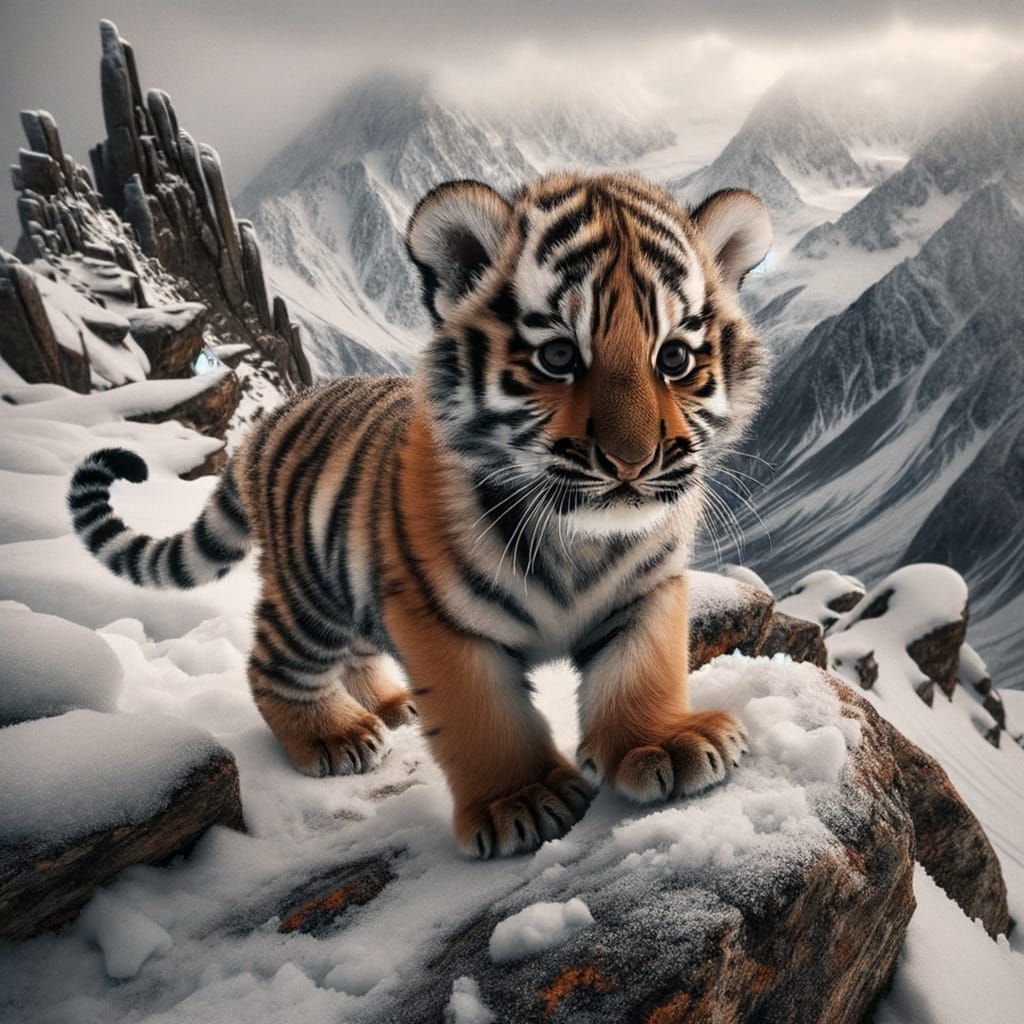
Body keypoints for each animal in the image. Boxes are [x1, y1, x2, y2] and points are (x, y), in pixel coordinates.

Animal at [67, 170, 772, 859]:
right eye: (558, 357)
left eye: (674, 358)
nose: (633, 461)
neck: (582, 541)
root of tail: (269, 424)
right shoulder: (436, 616)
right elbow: (479, 713)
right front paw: (521, 800)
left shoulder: (647, 589)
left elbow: (640, 667)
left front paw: (662, 744)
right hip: (310, 596)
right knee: (272, 665)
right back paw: (334, 735)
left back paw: (390, 704)